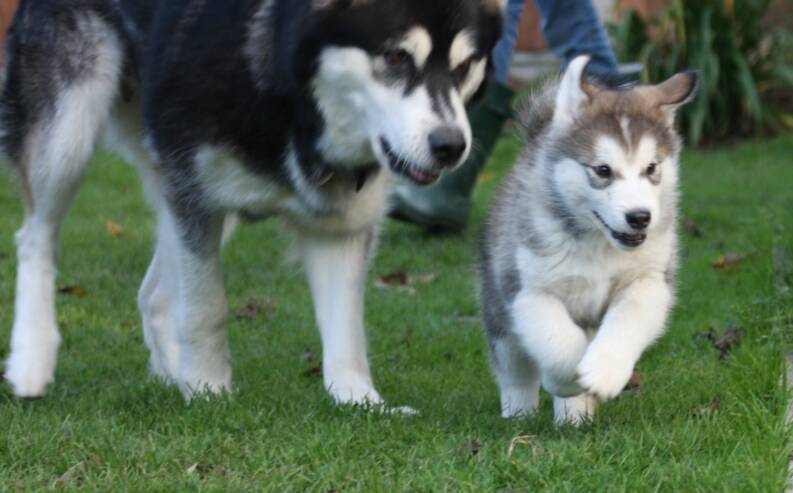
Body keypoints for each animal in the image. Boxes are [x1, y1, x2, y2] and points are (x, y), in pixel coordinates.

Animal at [476, 54, 692, 422]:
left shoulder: (650, 281)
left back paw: (575, 417)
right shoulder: (529, 291)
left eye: (651, 168)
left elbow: (628, 320)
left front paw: (603, 373)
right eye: (602, 170)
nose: (640, 217)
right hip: (499, 312)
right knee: (515, 368)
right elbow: (558, 342)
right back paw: (520, 413)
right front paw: (565, 380)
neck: (599, 246)